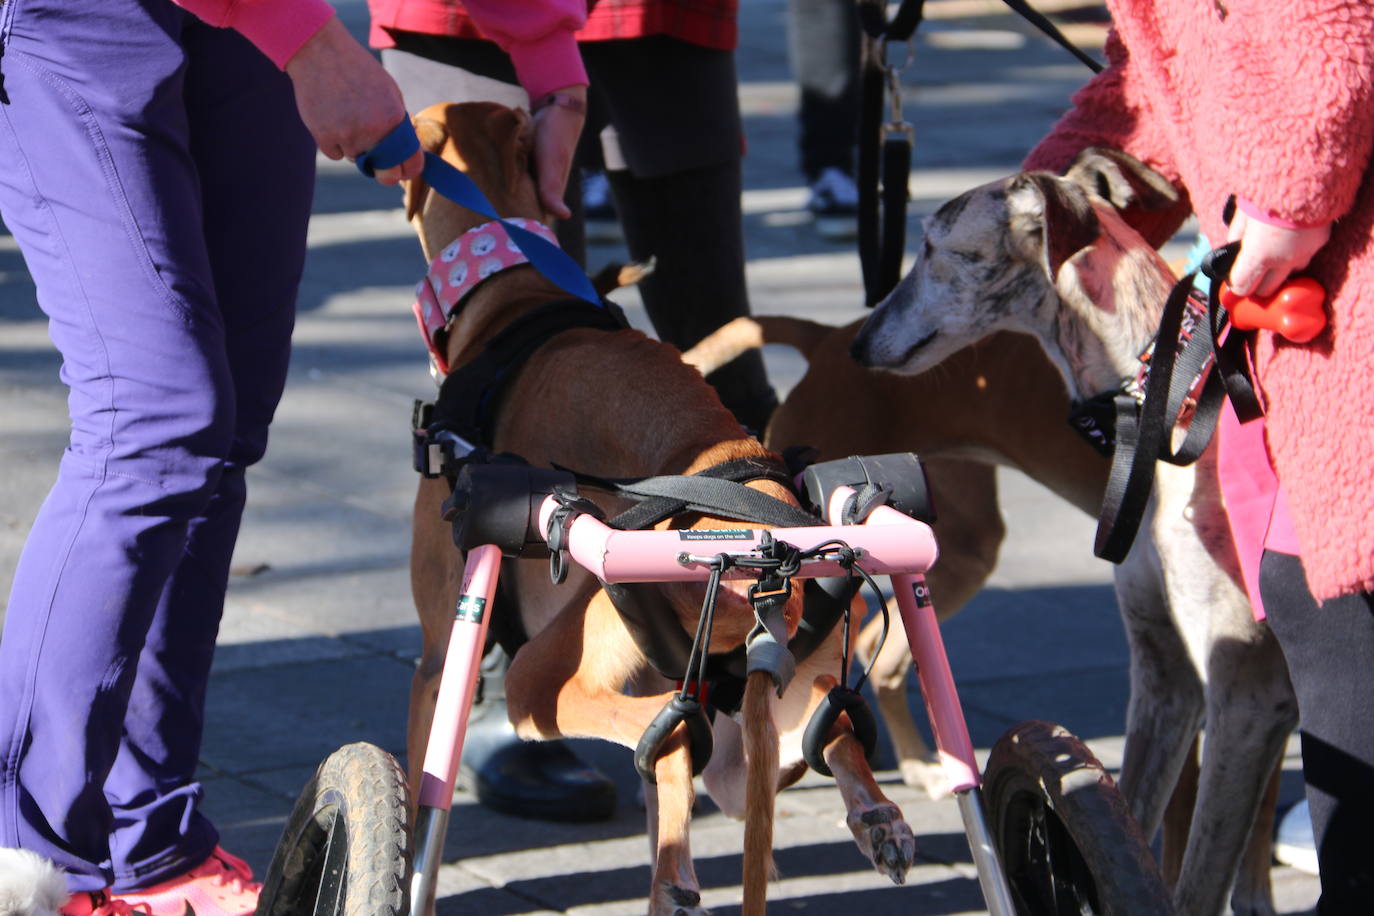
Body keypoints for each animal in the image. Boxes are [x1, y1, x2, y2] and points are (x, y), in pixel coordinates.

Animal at [398, 102, 912, 916]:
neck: (517, 295)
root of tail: (768, 568)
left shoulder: (437, 659)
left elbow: (425, 801)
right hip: (776, 693)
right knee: (820, 727)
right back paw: (870, 812)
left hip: (543, 677)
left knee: (664, 740)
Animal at [840, 146, 1302, 911]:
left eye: (938, 249)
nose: (861, 344)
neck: (1165, 398)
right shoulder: (1166, 672)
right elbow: (1131, 822)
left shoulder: (1247, 691)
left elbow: (1198, 881)